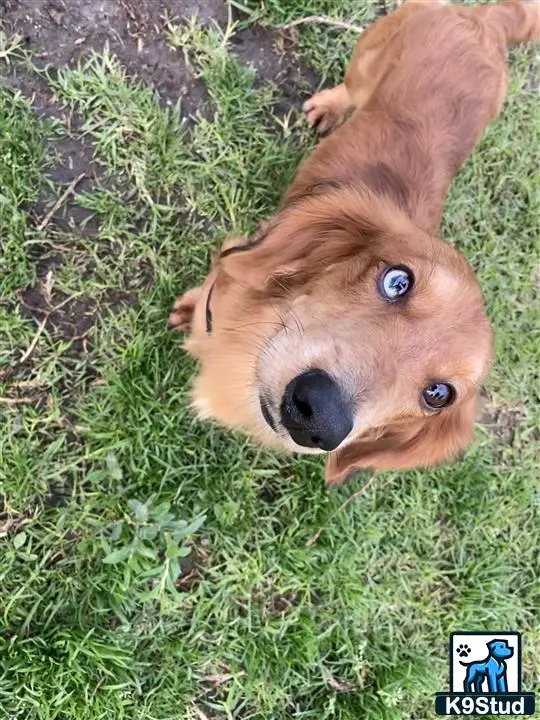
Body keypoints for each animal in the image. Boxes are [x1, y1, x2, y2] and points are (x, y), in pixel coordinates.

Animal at [170, 1, 540, 484]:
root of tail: (487, 24)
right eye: (397, 281)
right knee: (349, 87)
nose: (317, 413)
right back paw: (329, 106)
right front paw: (189, 308)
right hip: (367, 58)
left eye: (437, 395)